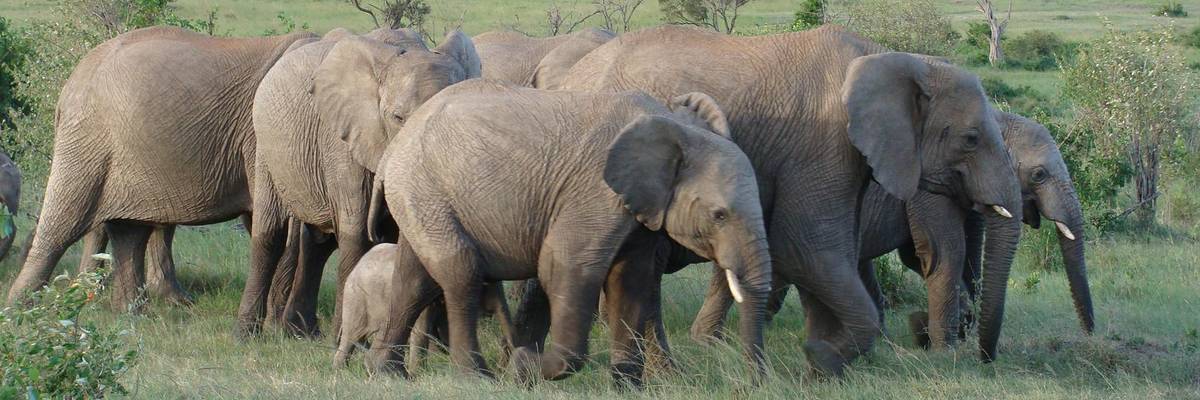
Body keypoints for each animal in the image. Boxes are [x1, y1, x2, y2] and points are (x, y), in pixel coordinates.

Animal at [5, 27, 318, 312]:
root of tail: (72, 80)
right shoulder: (265, 139)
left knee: (128, 230)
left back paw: (131, 313)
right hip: (88, 139)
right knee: (64, 223)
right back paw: (20, 312)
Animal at [241, 29, 481, 339]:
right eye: (397, 118)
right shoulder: (343, 144)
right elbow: (356, 236)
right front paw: (344, 339)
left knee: (315, 244)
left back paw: (302, 333)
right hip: (265, 145)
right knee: (271, 233)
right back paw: (245, 334)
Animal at [364, 81, 772, 388]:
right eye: (720, 215)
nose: (753, 383)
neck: (673, 126)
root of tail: (393, 149)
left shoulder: (639, 210)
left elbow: (631, 280)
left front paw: (627, 387)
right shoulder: (594, 192)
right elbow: (566, 267)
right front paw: (522, 368)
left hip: (421, 197)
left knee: (414, 280)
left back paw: (388, 374)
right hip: (425, 190)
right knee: (461, 274)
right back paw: (476, 378)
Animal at [557, 25, 1024, 375]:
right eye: (971, 139)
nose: (984, 361)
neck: (892, 59)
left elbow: (835, 252)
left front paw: (826, 358)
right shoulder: (821, 143)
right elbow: (808, 247)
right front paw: (823, 358)